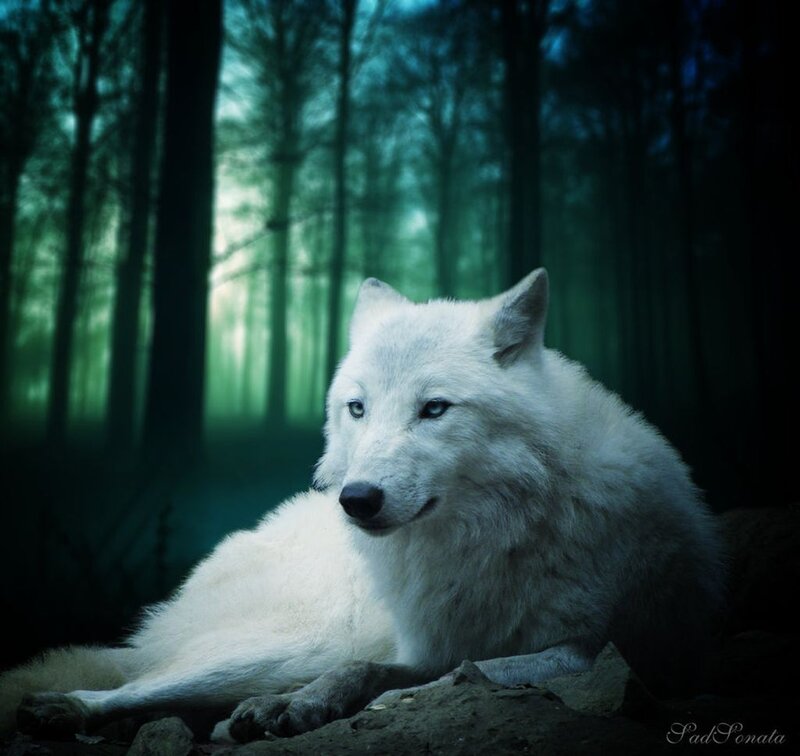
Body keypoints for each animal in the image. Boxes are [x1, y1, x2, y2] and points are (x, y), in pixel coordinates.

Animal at [0, 269, 725, 742]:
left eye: (434, 409)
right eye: (357, 407)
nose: (356, 500)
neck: (492, 538)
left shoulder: (597, 646)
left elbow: (452, 676)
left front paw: (318, 709)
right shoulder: (421, 639)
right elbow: (374, 670)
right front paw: (295, 708)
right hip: (283, 646)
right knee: (138, 686)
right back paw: (66, 707)